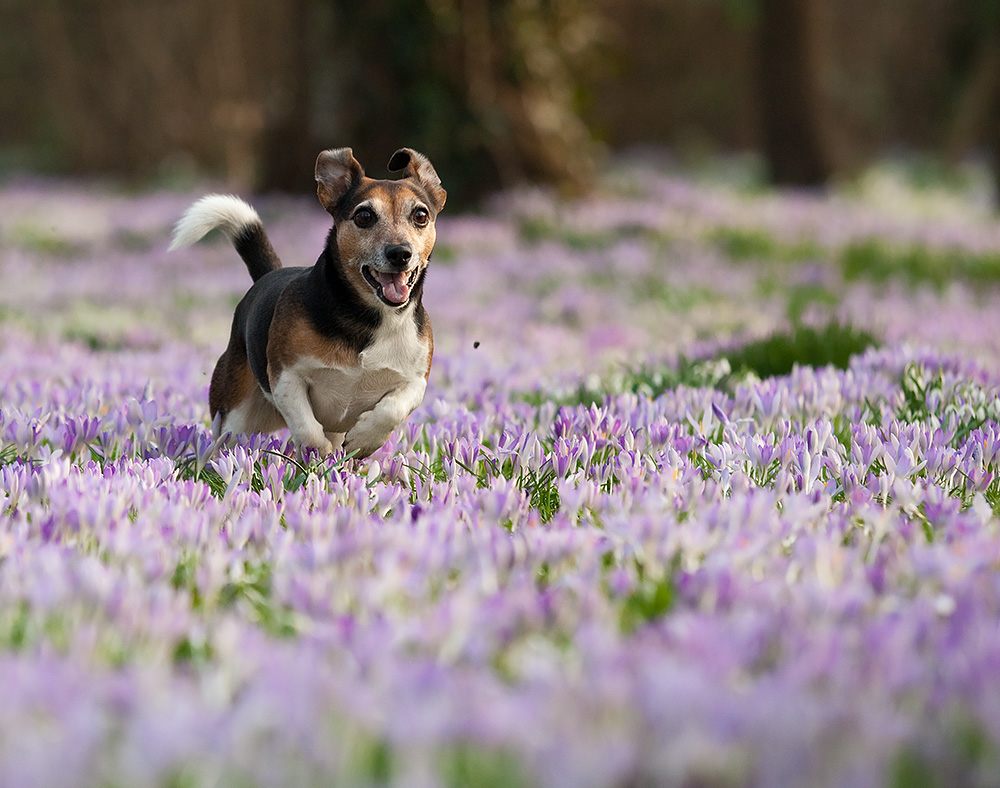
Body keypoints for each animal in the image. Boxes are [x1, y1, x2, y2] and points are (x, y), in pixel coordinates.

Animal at [170, 148, 444, 458]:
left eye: (420, 215)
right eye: (364, 216)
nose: (399, 253)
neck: (368, 317)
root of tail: (268, 274)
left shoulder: (415, 381)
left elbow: (391, 410)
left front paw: (364, 439)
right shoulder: (286, 375)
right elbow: (307, 427)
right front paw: (317, 454)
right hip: (234, 416)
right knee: (222, 443)